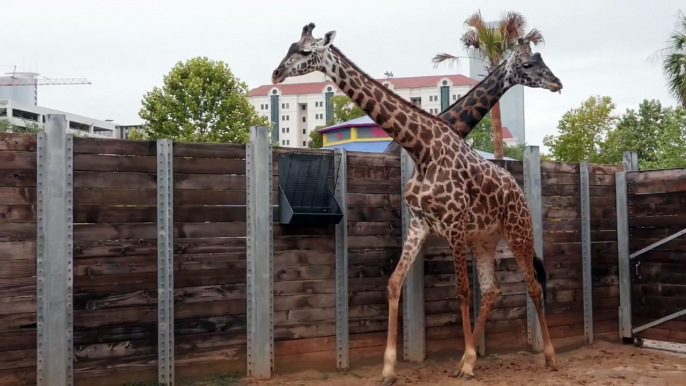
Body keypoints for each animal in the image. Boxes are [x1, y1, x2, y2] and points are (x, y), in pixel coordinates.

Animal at [272, 23, 560, 382]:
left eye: (305, 51)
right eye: (290, 47)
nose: (276, 73)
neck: (421, 150)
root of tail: (518, 191)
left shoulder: (453, 224)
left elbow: (462, 292)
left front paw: (468, 362)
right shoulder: (420, 225)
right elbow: (395, 283)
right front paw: (389, 368)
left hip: (519, 231)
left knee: (532, 286)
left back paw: (548, 357)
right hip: (484, 240)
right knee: (493, 290)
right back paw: (464, 360)